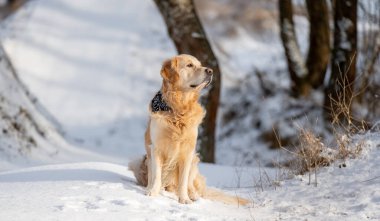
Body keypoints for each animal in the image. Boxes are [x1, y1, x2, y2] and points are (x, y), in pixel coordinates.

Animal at [129, 53, 251, 205]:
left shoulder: (188, 151)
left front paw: (184, 199)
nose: (210, 71)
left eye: (200, 64)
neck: (178, 109)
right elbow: (156, 175)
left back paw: (193, 195)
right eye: (189, 65)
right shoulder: (156, 148)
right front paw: (152, 193)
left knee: (191, 184)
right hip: (139, 161)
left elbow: (183, 181)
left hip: (194, 159)